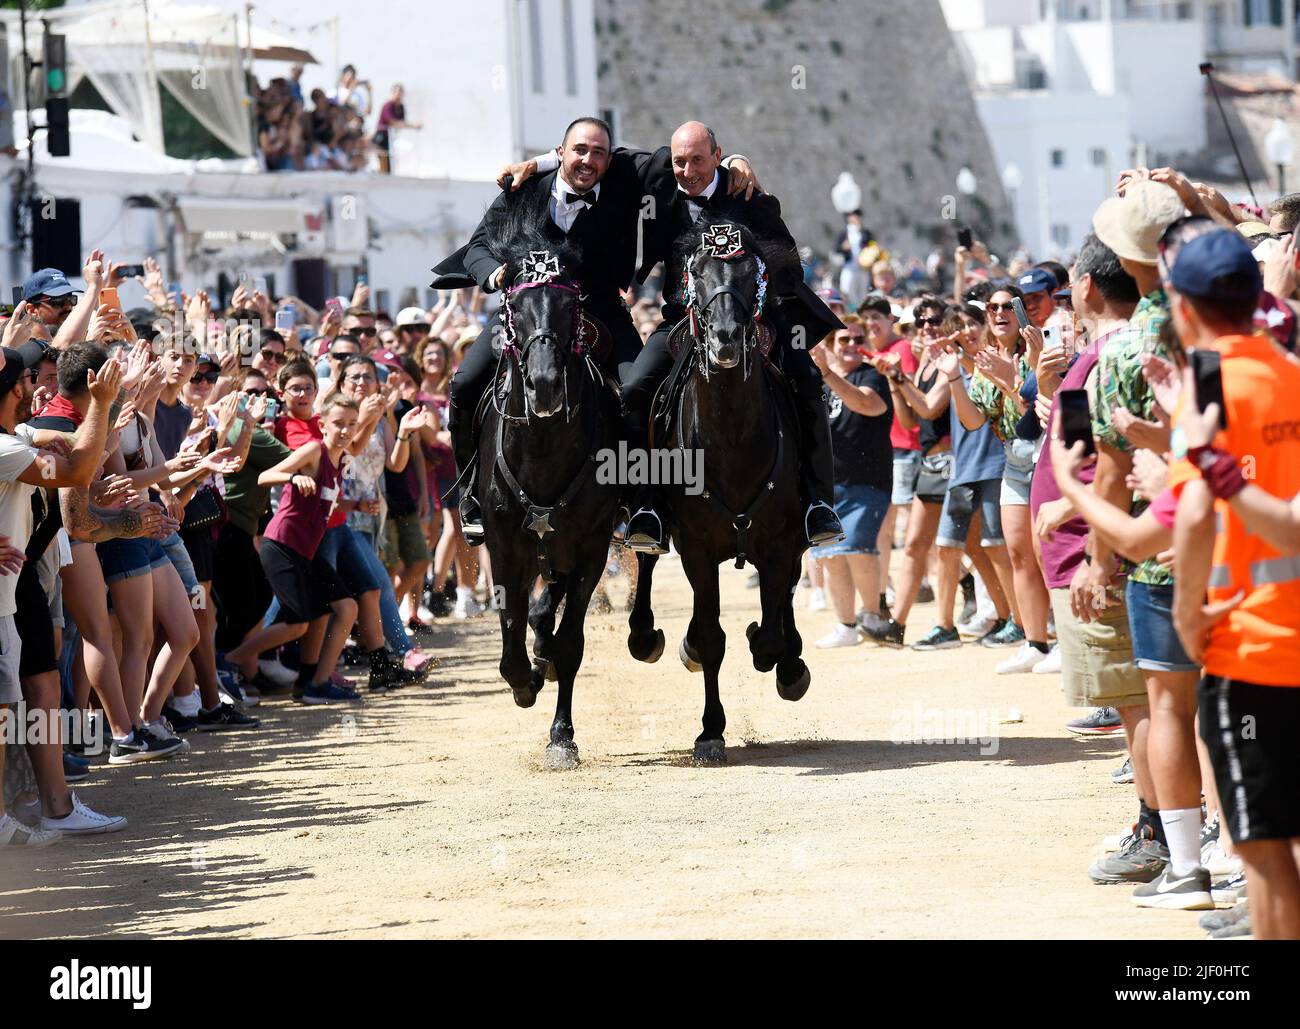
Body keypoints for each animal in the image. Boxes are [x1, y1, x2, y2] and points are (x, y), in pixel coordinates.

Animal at [478, 197, 624, 769]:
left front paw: (561, 737)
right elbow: (511, 634)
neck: (543, 444)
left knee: (550, 617)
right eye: (515, 308)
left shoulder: (590, 549)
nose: (543, 386)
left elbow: (571, 643)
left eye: (569, 307)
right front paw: (523, 682)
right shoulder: (503, 547)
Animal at [624, 219, 806, 763]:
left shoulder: (779, 544)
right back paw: (648, 635)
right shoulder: (698, 550)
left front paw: (780, 658)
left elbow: (768, 631)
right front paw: (710, 730)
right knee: (647, 562)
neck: (731, 439)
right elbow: (711, 638)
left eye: (750, 273)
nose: (725, 339)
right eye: (697, 273)